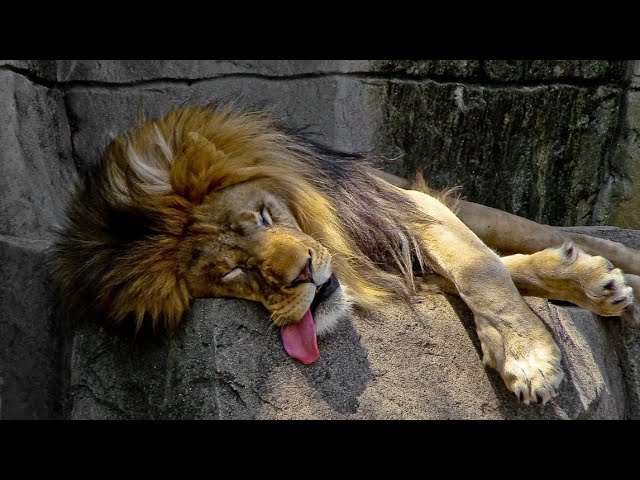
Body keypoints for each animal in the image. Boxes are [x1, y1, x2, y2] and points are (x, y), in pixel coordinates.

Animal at [53, 104, 640, 406]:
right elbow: (491, 270)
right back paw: (597, 282)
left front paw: (528, 358)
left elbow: (483, 270)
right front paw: (578, 286)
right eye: (234, 269)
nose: (304, 275)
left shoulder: (406, 206)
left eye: (263, 216)